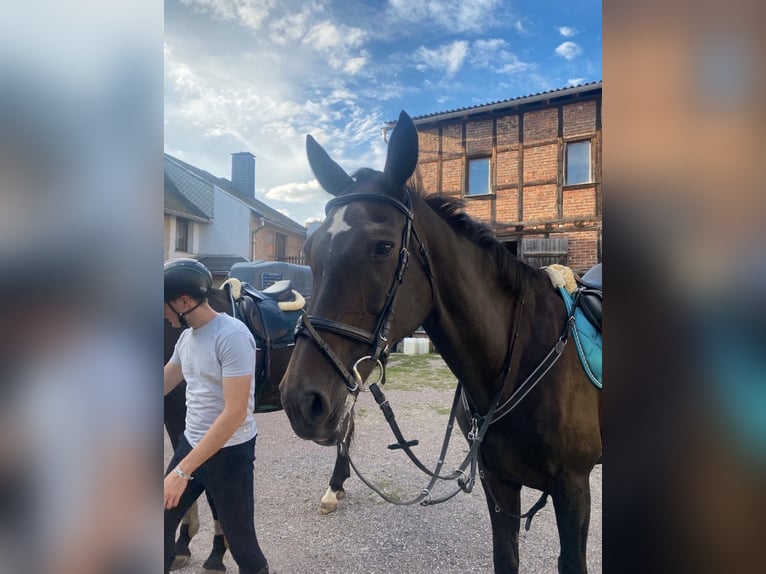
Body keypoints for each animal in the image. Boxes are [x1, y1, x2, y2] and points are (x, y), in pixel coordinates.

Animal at [279, 111, 602, 574]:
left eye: (383, 246)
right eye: (310, 249)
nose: (300, 400)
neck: (521, 357)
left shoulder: (573, 489)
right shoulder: (498, 482)